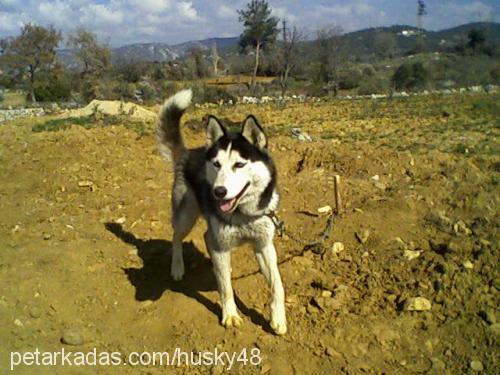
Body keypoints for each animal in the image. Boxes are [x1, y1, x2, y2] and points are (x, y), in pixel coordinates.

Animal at [158, 90, 288, 334]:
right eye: (217, 164)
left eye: (239, 164)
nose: (218, 192)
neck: (243, 214)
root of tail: (188, 153)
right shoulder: (219, 245)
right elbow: (226, 288)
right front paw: (230, 315)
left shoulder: (264, 245)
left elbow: (278, 284)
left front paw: (278, 318)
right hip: (186, 216)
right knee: (177, 236)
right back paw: (177, 266)